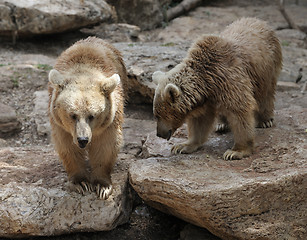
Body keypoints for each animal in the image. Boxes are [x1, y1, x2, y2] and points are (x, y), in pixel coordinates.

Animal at [48, 36, 127, 199]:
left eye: (92, 115)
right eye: (72, 115)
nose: (83, 139)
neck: (84, 71)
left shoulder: (111, 119)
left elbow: (106, 146)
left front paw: (102, 185)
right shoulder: (60, 124)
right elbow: (67, 147)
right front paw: (81, 183)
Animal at [153, 17, 282, 160]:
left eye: (159, 115)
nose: (159, 134)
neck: (207, 82)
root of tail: (259, 20)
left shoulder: (229, 79)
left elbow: (239, 112)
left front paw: (235, 152)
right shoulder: (206, 98)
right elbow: (200, 121)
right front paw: (182, 146)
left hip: (267, 68)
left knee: (266, 93)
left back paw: (265, 120)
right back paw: (221, 124)